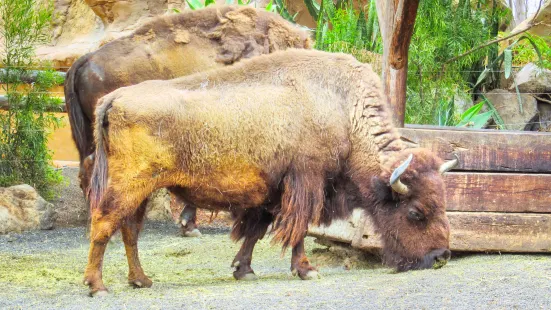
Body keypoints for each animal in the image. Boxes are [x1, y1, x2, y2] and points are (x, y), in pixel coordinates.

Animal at [84, 48, 460, 296]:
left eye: (443, 204)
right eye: (415, 212)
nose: (441, 257)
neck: (342, 110)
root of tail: (114, 98)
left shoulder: (271, 192)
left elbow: (255, 230)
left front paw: (244, 270)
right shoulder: (306, 183)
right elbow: (298, 229)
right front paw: (307, 270)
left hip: (143, 191)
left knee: (129, 231)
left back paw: (141, 280)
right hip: (128, 185)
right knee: (103, 223)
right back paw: (98, 286)